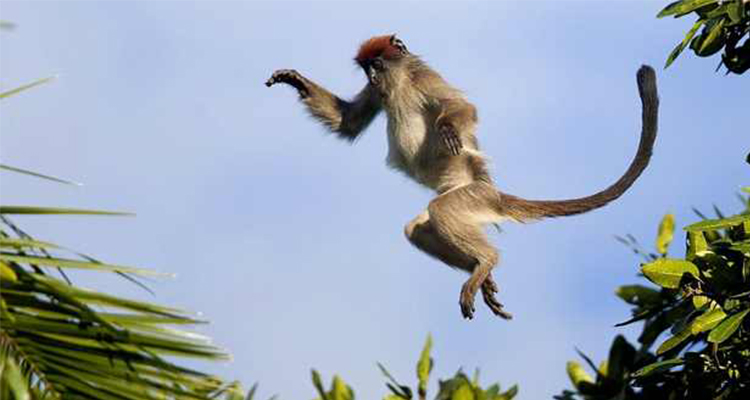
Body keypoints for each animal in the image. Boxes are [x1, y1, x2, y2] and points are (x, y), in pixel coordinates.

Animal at [266, 34, 659, 320]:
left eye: (377, 65)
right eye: (367, 72)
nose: (373, 77)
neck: (397, 84)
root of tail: (492, 192)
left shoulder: (421, 78)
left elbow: (461, 108)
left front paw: (449, 128)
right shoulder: (381, 92)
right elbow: (349, 123)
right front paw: (294, 80)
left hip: (471, 194)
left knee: (440, 211)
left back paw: (485, 262)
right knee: (419, 227)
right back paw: (480, 271)